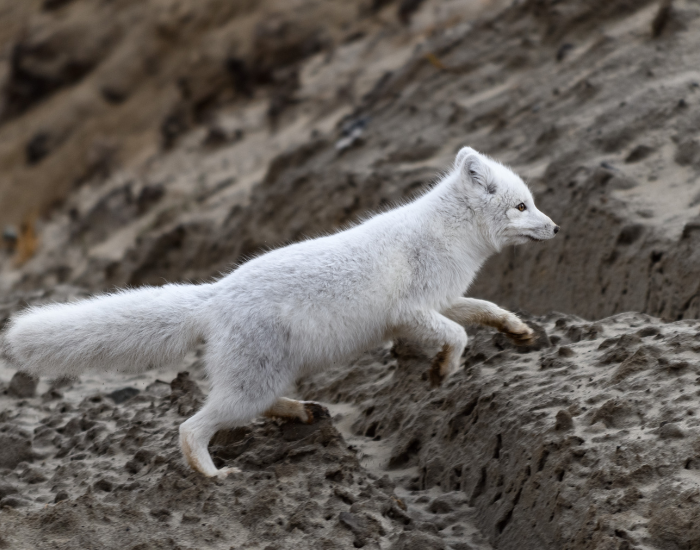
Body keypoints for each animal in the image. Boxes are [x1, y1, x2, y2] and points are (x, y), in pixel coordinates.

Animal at [4, 147, 558, 478]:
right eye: (522, 206)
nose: (556, 229)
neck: (449, 236)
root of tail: (215, 295)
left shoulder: (444, 300)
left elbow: (485, 308)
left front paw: (519, 331)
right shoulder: (411, 310)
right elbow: (456, 335)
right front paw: (443, 370)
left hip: (265, 374)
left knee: (253, 404)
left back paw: (303, 412)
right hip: (252, 379)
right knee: (192, 426)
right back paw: (213, 476)